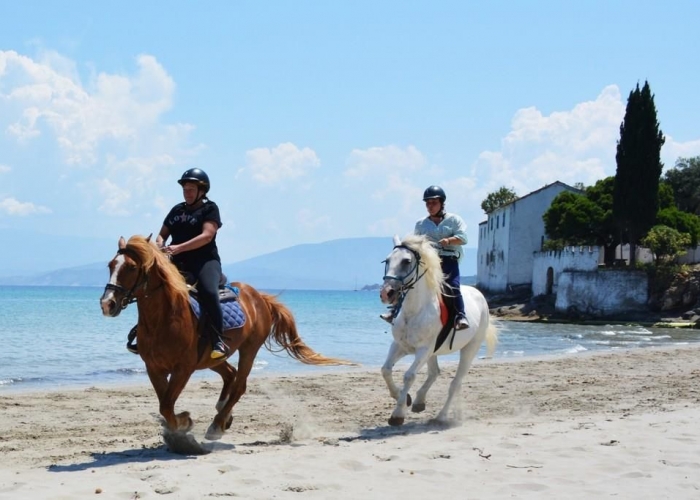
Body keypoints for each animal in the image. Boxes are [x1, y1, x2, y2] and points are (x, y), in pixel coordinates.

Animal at [98, 235, 350, 442]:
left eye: (131, 267)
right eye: (110, 265)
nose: (107, 304)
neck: (164, 318)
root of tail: (259, 297)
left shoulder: (183, 368)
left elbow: (167, 405)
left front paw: (184, 422)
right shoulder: (154, 368)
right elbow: (164, 404)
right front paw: (182, 424)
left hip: (248, 349)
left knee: (239, 384)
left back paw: (217, 425)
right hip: (213, 357)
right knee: (230, 374)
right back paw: (223, 414)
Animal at [378, 234, 498, 426]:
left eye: (406, 261)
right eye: (387, 260)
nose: (386, 293)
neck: (415, 311)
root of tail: (479, 295)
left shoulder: (424, 349)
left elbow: (409, 376)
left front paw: (398, 414)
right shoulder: (400, 346)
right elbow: (386, 370)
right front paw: (405, 399)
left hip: (469, 348)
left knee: (455, 383)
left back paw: (441, 416)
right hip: (433, 353)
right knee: (435, 373)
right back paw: (420, 402)